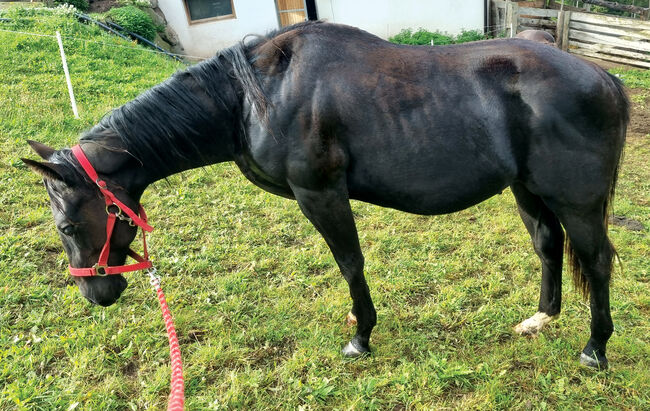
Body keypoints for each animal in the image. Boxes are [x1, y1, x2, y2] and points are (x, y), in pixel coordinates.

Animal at [22, 21, 624, 370]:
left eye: (67, 226)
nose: (95, 295)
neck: (255, 97)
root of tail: (602, 76)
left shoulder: (320, 194)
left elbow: (350, 263)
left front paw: (361, 337)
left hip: (577, 202)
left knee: (596, 261)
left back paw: (596, 349)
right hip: (527, 190)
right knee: (548, 245)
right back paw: (541, 319)